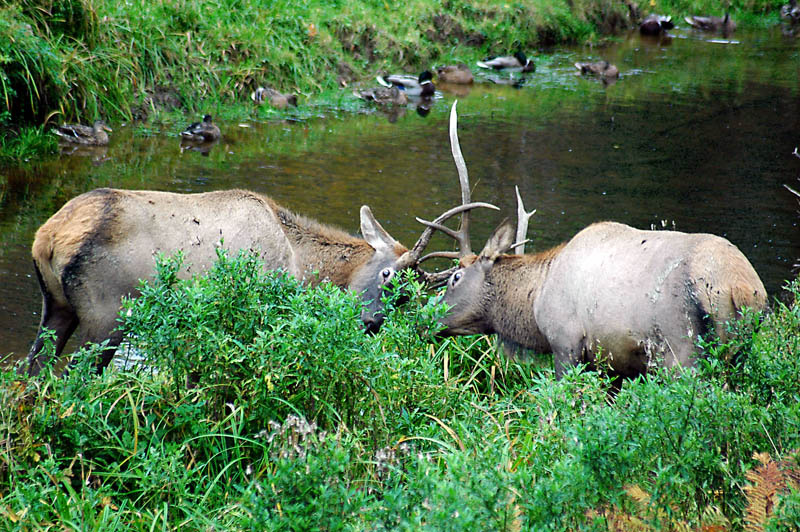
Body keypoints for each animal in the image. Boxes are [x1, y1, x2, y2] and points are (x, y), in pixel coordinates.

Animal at [26, 134, 497, 376]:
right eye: (387, 278)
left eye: (408, 296)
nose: (370, 323)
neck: (300, 263)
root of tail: (48, 238)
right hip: (107, 314)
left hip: (58, 309)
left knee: (30, 373)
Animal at [421, 104, 768, 379]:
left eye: (455, 277)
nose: (424, 319)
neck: (535, 301)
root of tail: (741, 288)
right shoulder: (618, 364)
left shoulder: (566, 342)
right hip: (739, 353)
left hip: (681, 349)